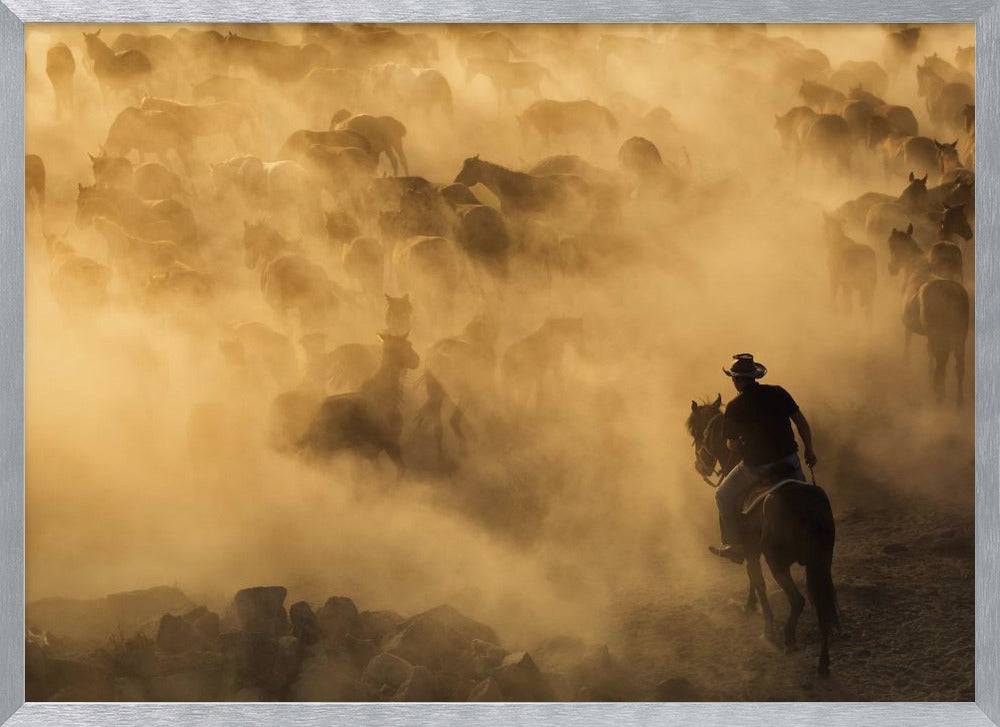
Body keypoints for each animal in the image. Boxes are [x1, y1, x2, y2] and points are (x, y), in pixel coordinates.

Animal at [684, 398, 840, 676]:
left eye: (697, 433)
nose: (700, 466)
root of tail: (807, 505)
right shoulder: (752, 551)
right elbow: (752, 577)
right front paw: (750, 605)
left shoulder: (750, 549)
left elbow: (757, 580)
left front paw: (765, 623)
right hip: (821, 562)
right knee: (822, 601)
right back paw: (824, 660)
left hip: (778, 562)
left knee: (799, 600)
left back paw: (789, 638)